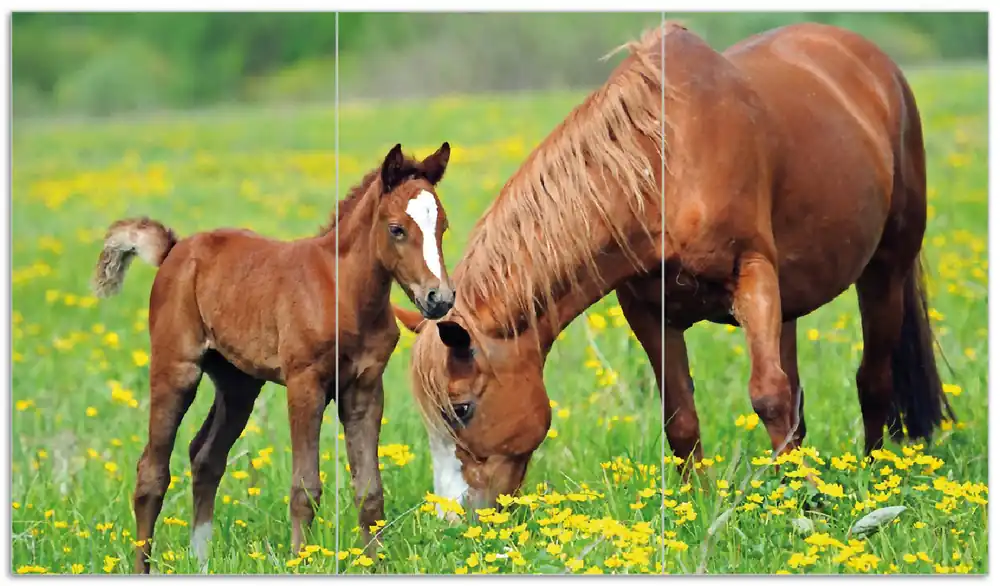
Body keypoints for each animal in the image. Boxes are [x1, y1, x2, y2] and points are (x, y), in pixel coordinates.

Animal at [90, 142, 455, 573]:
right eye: (397, 229)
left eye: (442, 227)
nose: (439, 298)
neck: (342, 293)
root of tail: (174, 250)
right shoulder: (305, 384)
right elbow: (305, 487)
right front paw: (301, 561)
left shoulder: (365, 388)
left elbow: (369, 489)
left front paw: (375, 565)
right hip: (176, 368)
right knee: (152, 472)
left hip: (238, 384)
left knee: (206, 457)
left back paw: (201, 562)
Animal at [400, 22, 953, 511]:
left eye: (462, 409)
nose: (454, 516)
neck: (666, 164)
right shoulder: (648, 311)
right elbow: (681, 417)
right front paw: (700, 506)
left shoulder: (752, 275)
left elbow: (768, 395)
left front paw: (808, 503)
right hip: (791, 302)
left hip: (885, 269)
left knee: (871, 379)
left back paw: (874, 475)